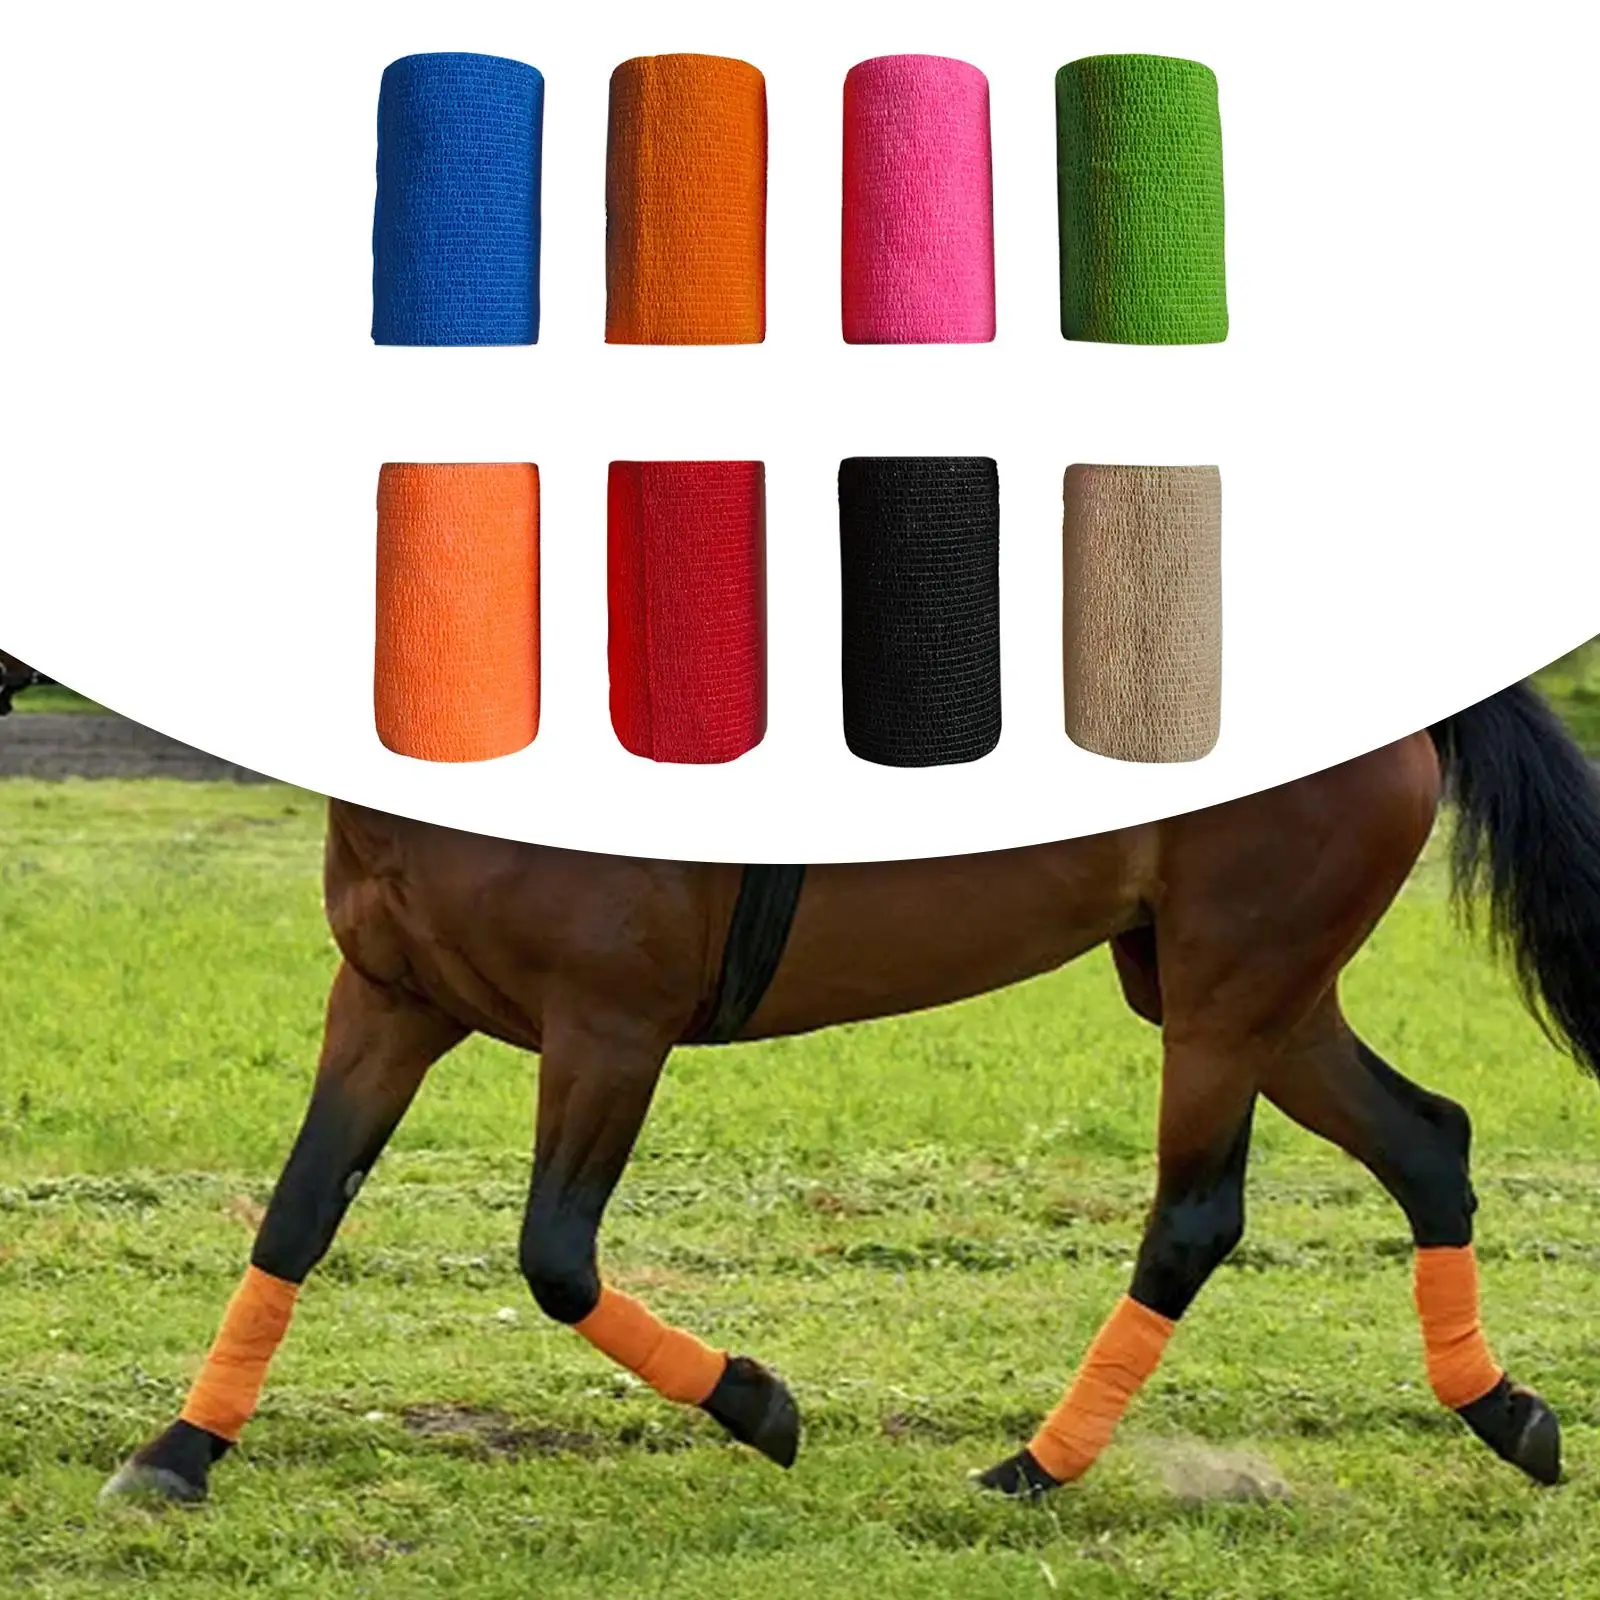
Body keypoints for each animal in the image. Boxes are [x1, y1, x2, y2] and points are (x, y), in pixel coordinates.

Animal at [104, 681, 1600, 1504]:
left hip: (1234, 987)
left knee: (1195, 1218)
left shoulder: (610, 1028)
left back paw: (1033, 1469)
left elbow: (555, 1257)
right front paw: (179, 1451)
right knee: (1430, 1140)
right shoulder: (387, 1001)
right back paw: (1507, 1413)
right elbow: (299, 1214)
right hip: (1240, 989)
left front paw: (758, 1402)